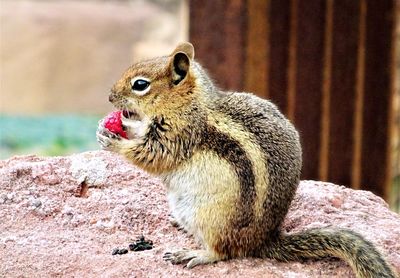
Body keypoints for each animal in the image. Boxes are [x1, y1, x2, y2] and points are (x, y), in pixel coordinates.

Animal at [95, 41, 396, 278]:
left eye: (140, 85)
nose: (109, 97)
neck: (191, 102)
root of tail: (263, 240)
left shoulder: (180, 133)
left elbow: (152, 155)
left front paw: (116, 142)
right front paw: (114, 127)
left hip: (211, 218)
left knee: (224, 252)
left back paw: (194, 254)